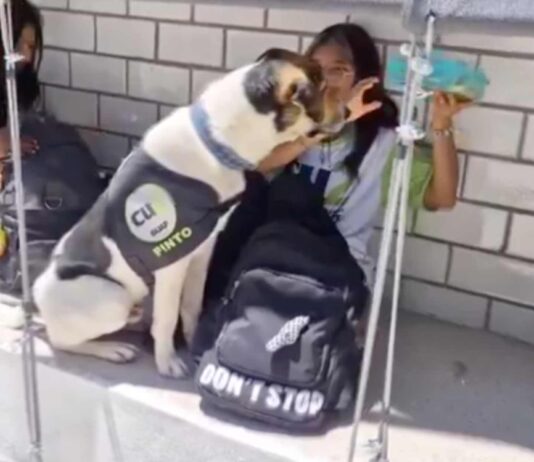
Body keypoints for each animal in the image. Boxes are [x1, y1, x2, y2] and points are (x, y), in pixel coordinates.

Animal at [32, 49, 347, 379]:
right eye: (323, 87)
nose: (349, 110)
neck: (215, 140)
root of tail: (37, 300)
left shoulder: (202, 250)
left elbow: (192, 305)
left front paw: (195, 342)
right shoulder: (171, 263)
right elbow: (168, 317)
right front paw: (167, 362)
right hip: (111, 298)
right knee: (61, 340)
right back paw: (111, 349)